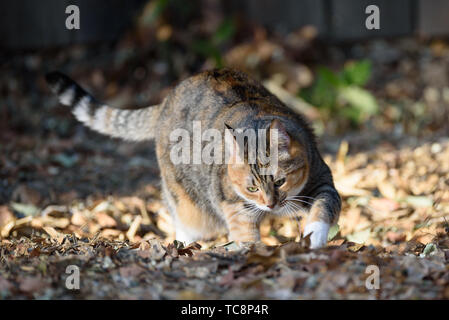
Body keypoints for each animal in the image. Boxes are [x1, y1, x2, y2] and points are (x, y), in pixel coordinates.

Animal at [45, 67, 340, 249]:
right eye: (252, 188)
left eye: (279, 182)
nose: (270, 205)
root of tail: (168, 98)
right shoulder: (234, 206)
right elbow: (246, 235)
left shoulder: (322, 182)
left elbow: (322, 209)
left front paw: (314, 240)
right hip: (187, 203)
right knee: (183, 224)